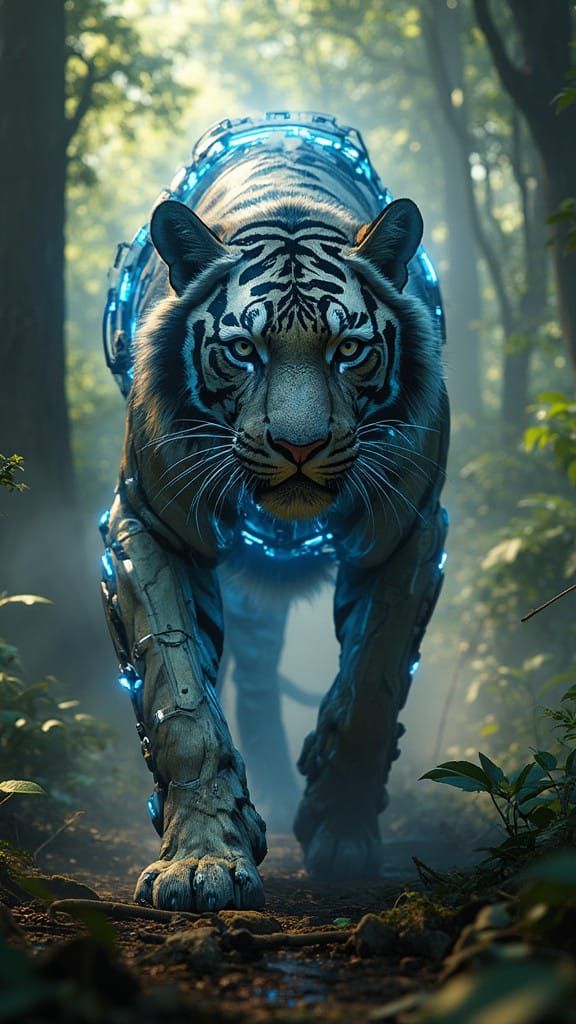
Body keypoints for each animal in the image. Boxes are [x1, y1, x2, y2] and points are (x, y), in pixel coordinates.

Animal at [100, 113, 449, 911]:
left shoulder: (408, 529)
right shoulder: (150, 525)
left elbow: (374, 683)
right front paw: (202, 860)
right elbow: (181, 700)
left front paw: (340, 830)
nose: (298, 445)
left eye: (348, 348)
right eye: (242, 350)